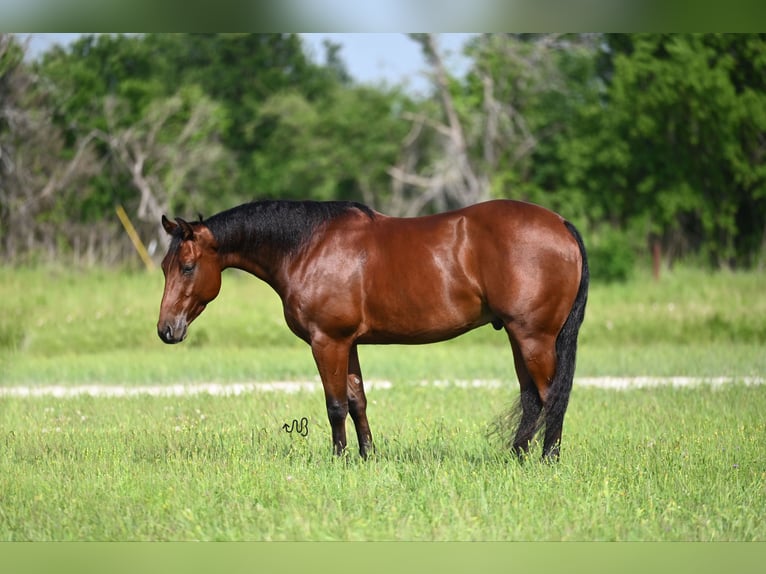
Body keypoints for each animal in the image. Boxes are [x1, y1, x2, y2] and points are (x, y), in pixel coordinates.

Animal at [154, 200, 588, 462]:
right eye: (164, 266)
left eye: (187, 267)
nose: (166, 330)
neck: (308, 247)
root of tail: (561, 224)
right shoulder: (349, 344)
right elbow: (357, 400)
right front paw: (367, 457)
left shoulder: (326, 341)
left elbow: (334, 405)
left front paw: (340, 460)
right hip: (519, 337)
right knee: (532, 398)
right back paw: (516, 457)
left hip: (533, 337)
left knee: (551, 397)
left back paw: (547, 461)